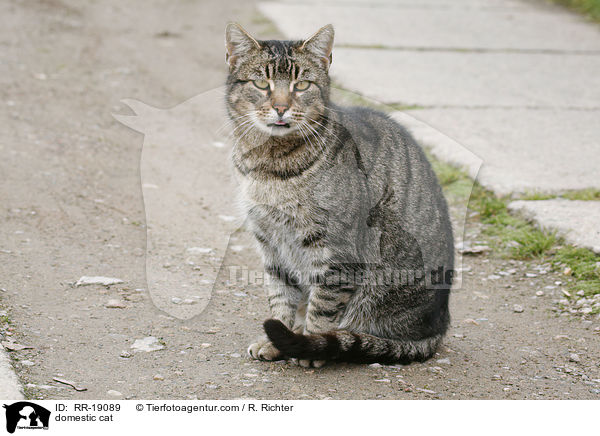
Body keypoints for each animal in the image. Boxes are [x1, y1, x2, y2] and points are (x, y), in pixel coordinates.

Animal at [225, 23, 454, 368]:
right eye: (261, 83)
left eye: (302, 85)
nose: (281, 107)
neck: (269, 163)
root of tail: (438, 328)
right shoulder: (271, 245)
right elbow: (280, 297)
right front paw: (277, 341)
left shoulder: (336, 253)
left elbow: (323, 307)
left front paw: (310, 346)